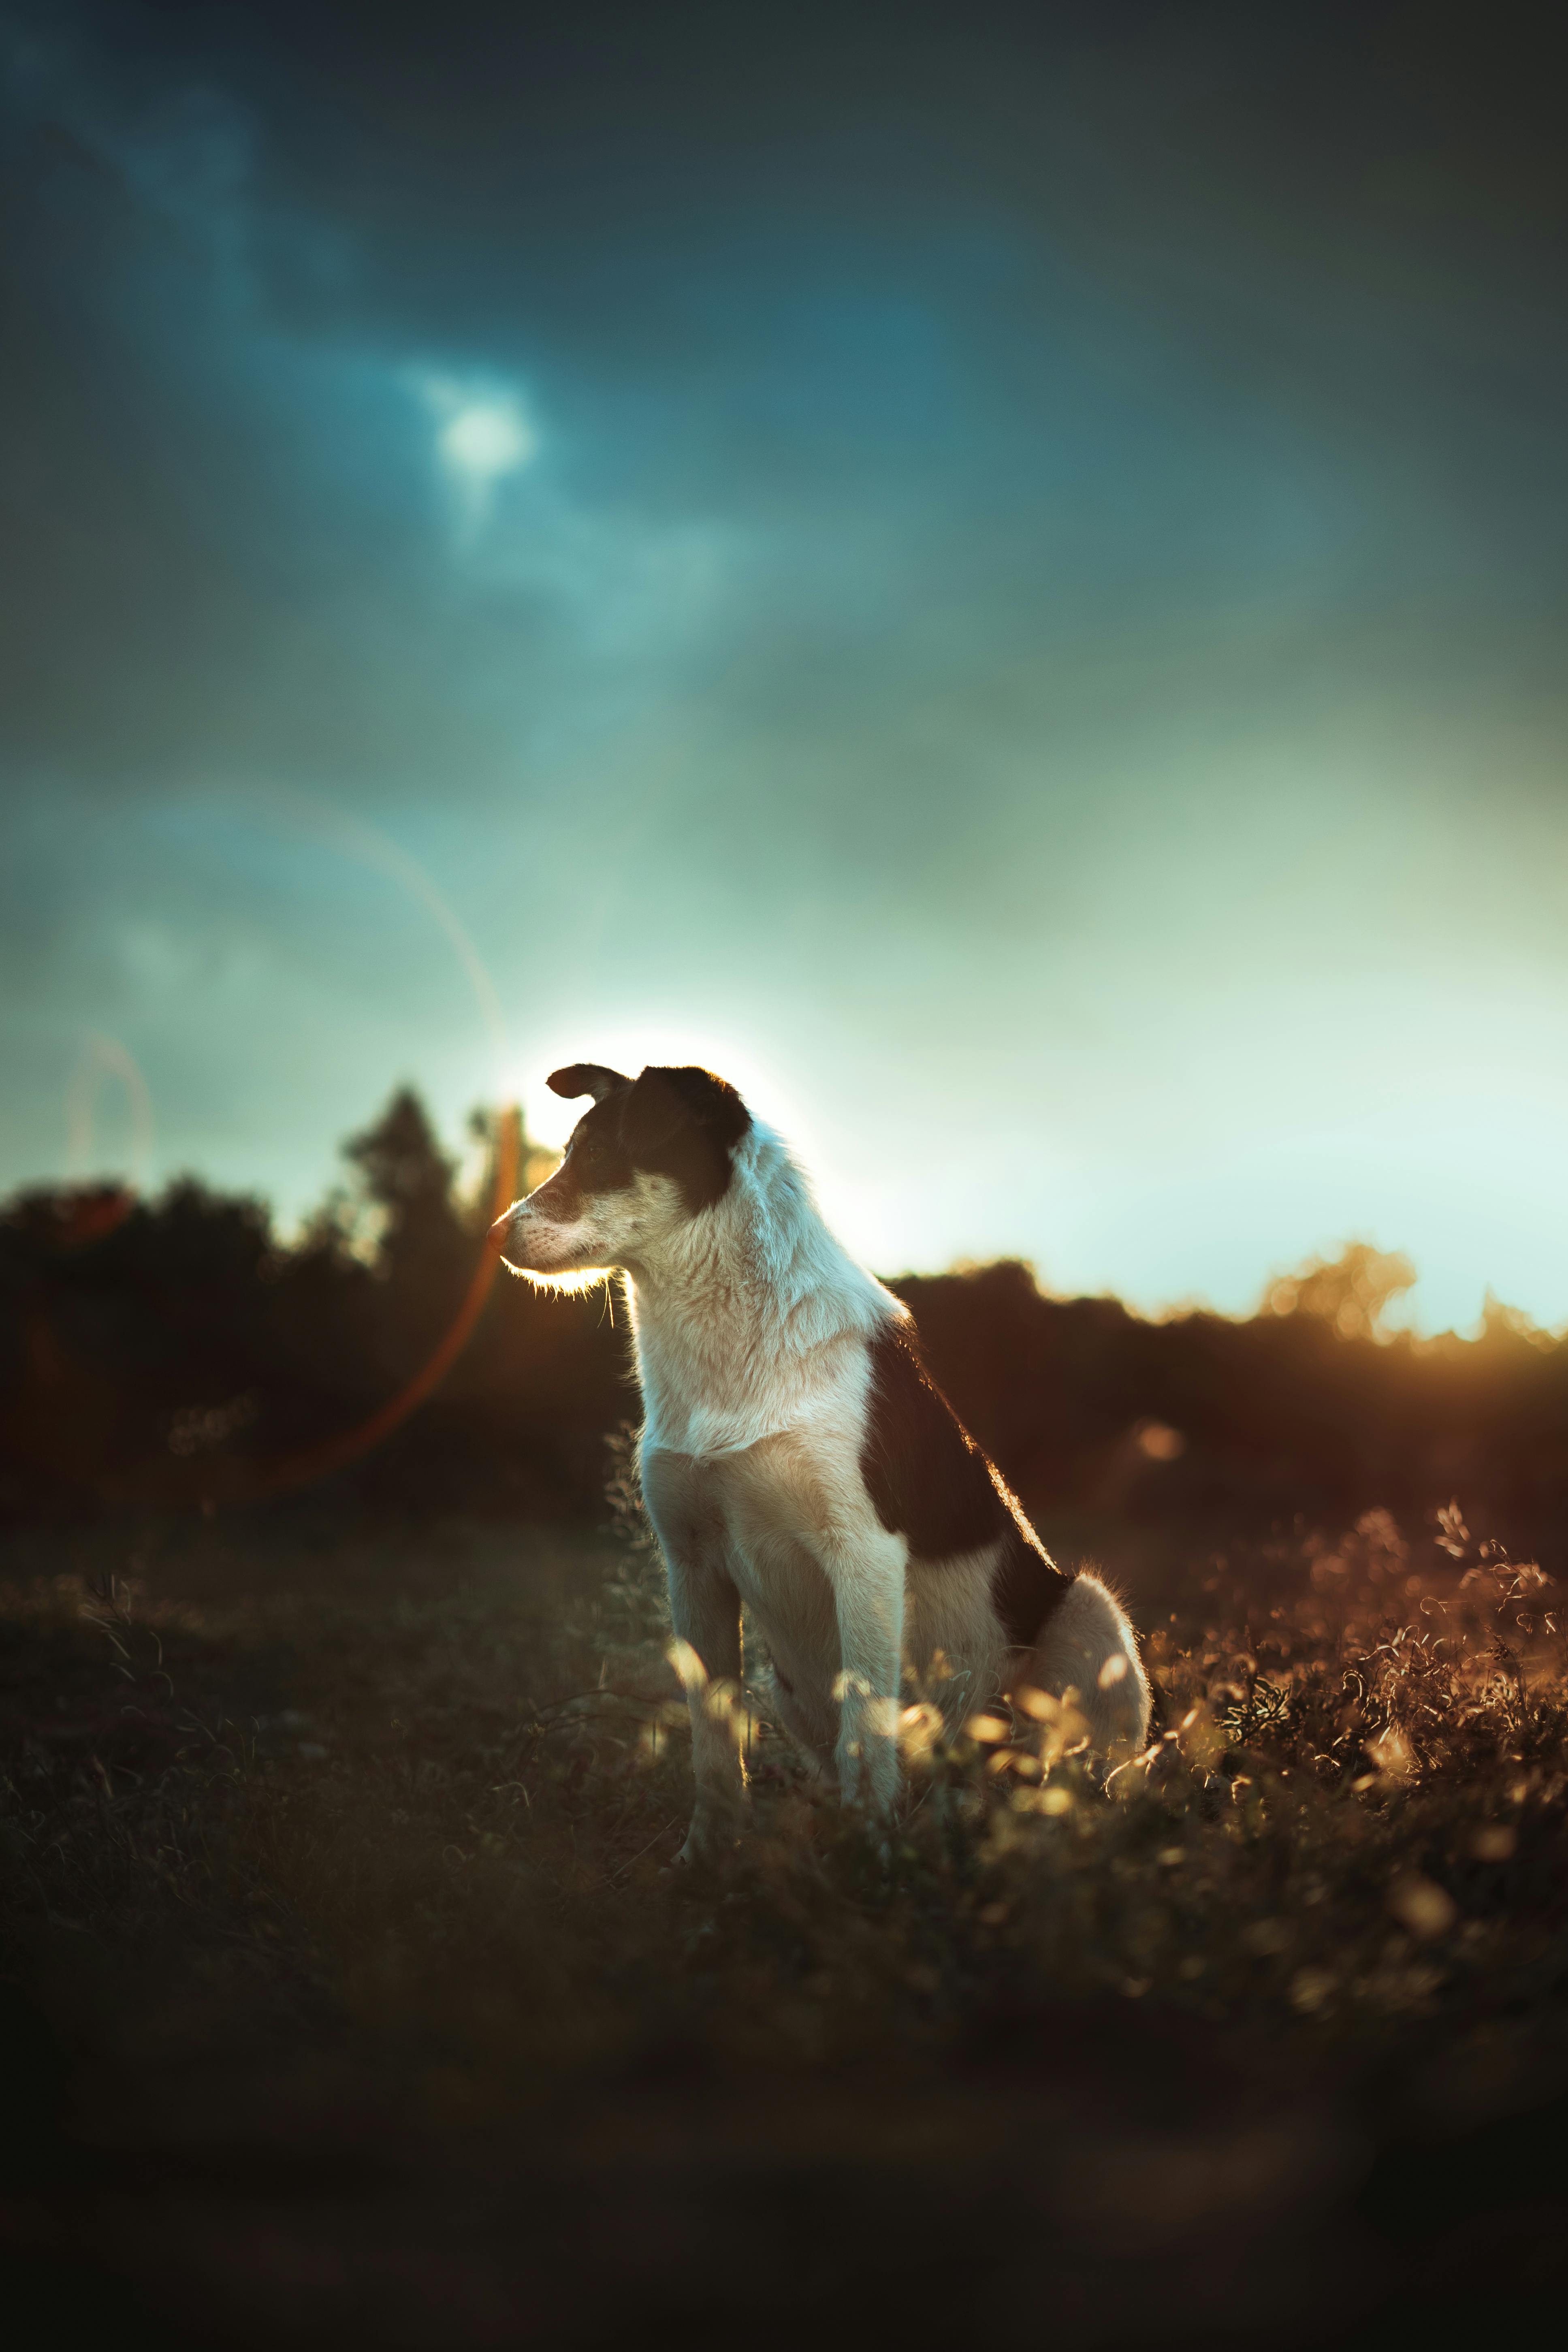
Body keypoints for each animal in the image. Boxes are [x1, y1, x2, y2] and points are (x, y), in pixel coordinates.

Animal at [493, 1063, 1152, 1853]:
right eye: (567, 1151)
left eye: (597, 1156)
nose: (494, 1235)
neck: (730, 1354)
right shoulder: (692, 1565)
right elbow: (714, 1742)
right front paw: (709, 1854)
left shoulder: (862, 1553)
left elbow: (864, 1730)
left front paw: (868, 1853)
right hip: (787, 1687)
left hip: (1091, 1613)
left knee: (1076, 1778)